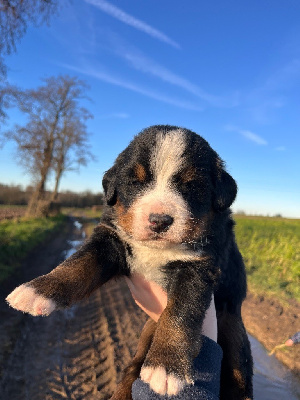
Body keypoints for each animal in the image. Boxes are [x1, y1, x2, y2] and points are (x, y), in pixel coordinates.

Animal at [6, 125, 253, 400]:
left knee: (239, 373)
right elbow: (79, 264)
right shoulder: (111, 239)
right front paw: (37, 291)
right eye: (136, 182)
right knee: (134, 366)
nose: (159, 220)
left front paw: (166, 367)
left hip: (232, 328)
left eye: (190, 186)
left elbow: (180, 312)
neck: (155, 250)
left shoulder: (198, 264)